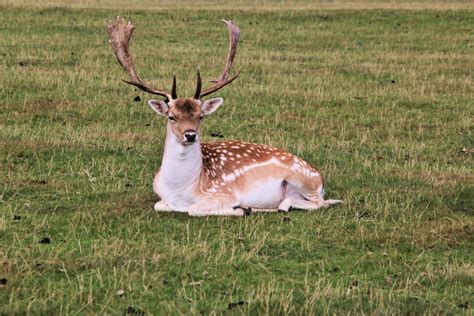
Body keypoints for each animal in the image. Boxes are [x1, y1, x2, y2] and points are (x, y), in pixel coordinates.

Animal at [107, 16, 340, 216]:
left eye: (201, 116)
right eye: (171, 117)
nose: (190, 135)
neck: (181, 190)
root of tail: (320, 177)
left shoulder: (223, 192)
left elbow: (194, 209)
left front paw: (239, 209)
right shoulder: (163, 199)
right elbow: (159, 205)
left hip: (302, 179)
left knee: (320, 203)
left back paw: (266, 207)